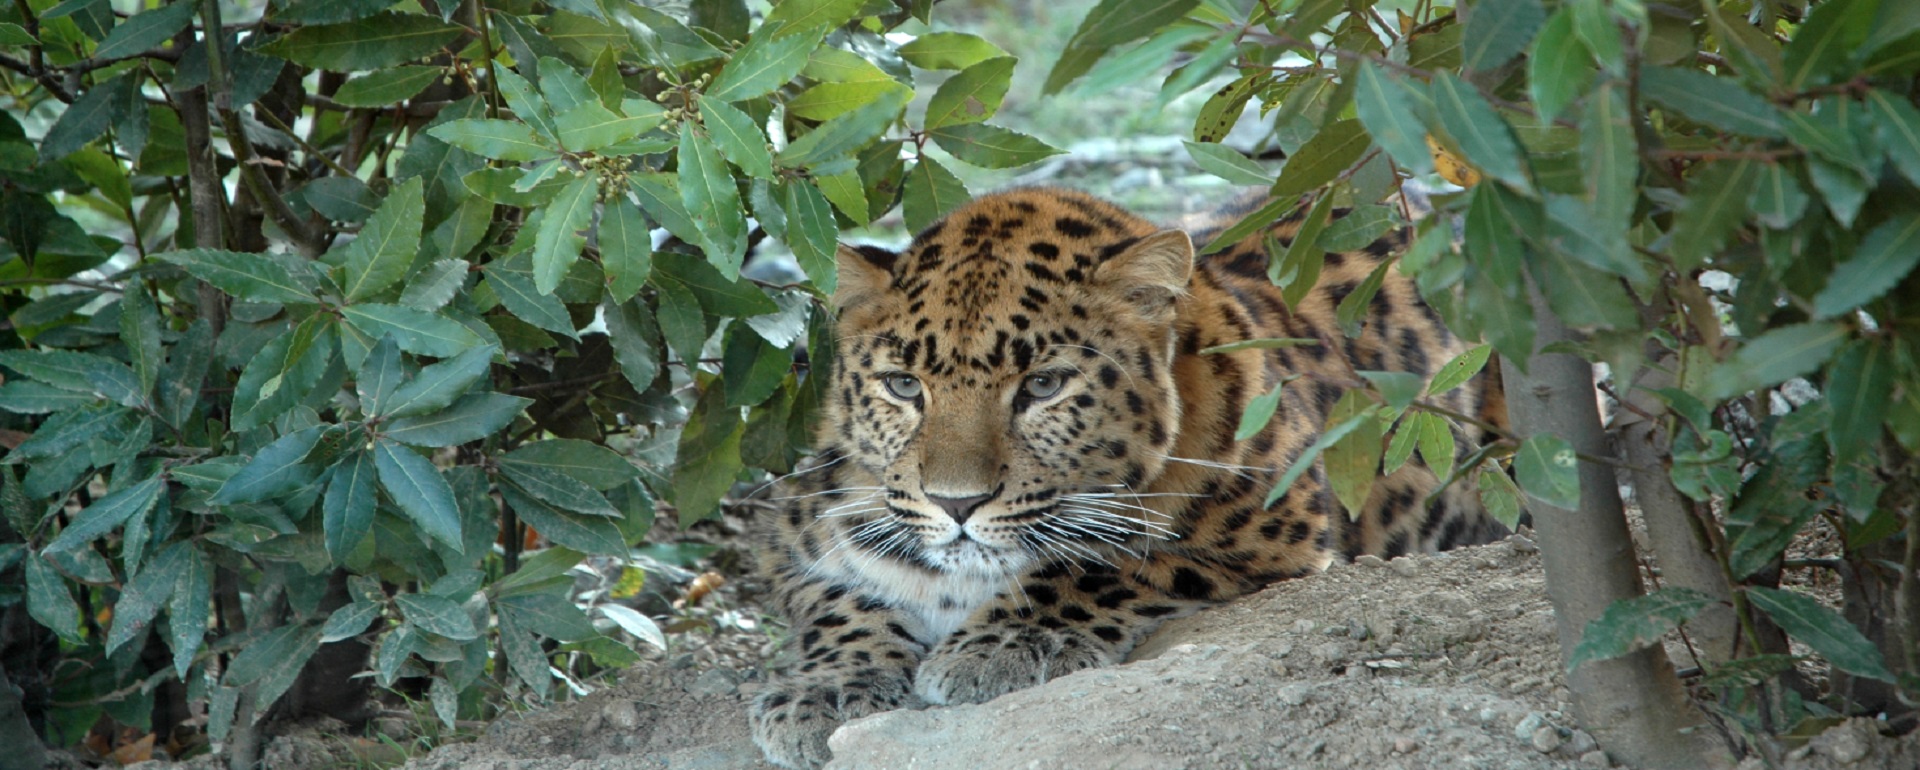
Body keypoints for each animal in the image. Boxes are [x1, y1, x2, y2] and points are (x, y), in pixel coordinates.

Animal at [741, 187, 1505, 768]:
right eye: (904, 385)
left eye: (1043, 385)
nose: (957, 503)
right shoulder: (792, 536)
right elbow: (841, 600)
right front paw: (828, 688)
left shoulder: (1277, 539)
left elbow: (1102, 565)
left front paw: (1001, 646)